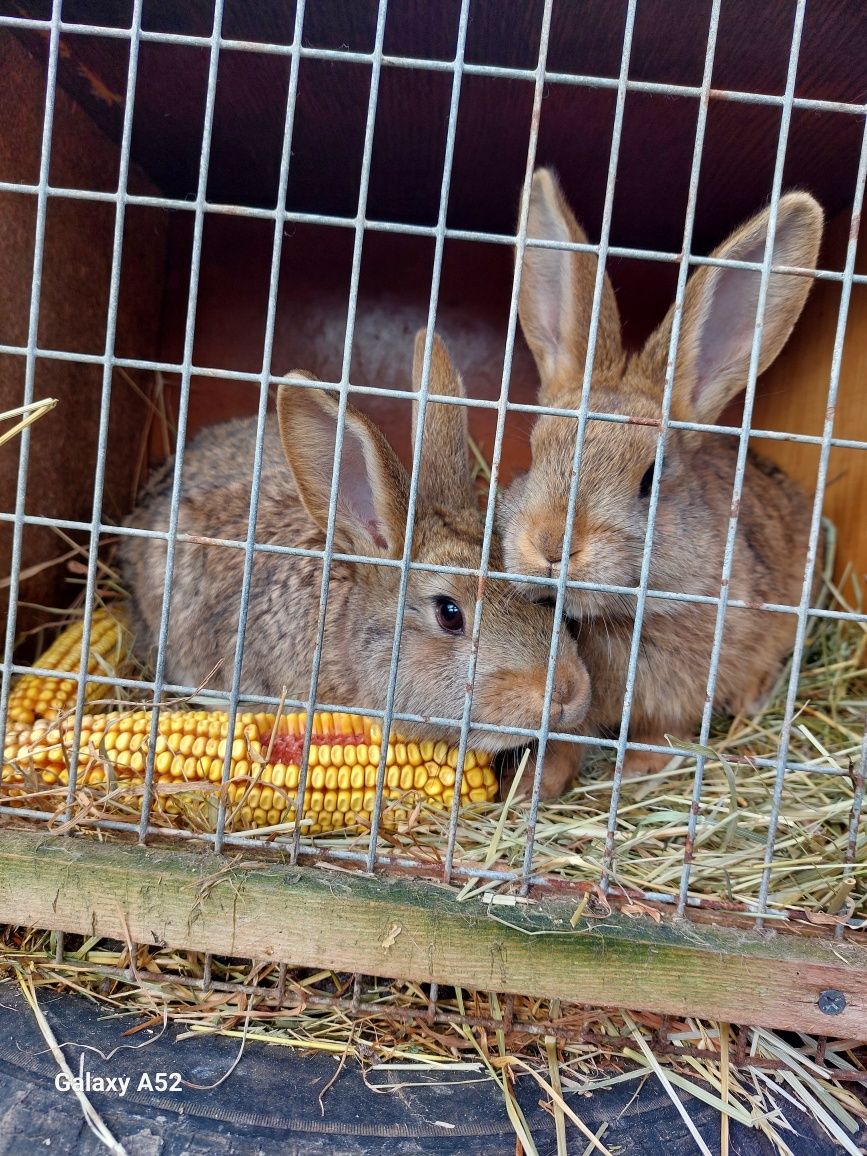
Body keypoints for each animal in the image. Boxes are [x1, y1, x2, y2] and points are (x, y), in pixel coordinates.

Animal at [499, 168, 823, 776]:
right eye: (534, 452)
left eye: (651, 478)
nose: (552, 545)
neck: (617, 619)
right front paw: (536, 783)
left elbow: (664, 733)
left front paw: (639, 771)